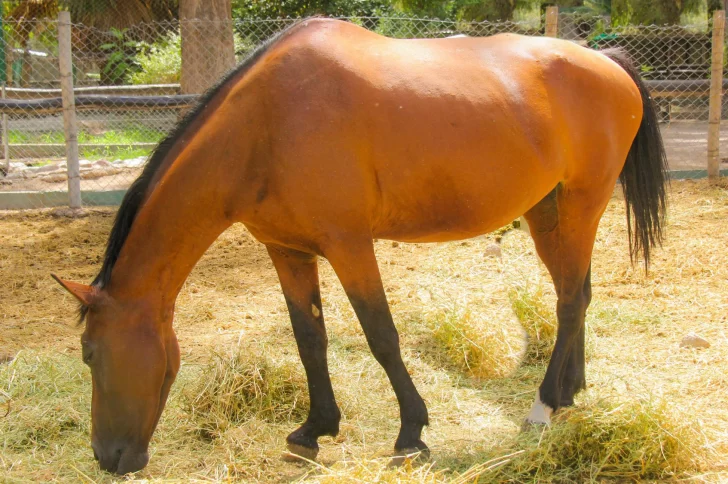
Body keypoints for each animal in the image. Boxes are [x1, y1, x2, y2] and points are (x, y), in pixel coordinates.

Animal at [52, 18, 664, 472]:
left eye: (89, 353)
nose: (108, 458)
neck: (266, 123)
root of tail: (610, 61)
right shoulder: (288, 251)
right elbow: (310, 339)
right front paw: (314, 429)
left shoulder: (349, 246)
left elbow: (381, 336)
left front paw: (411, 432)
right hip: (549, 212)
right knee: (575, 293)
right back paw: (570, 390)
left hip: (583, 203)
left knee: (569, 301)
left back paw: (544, 404)